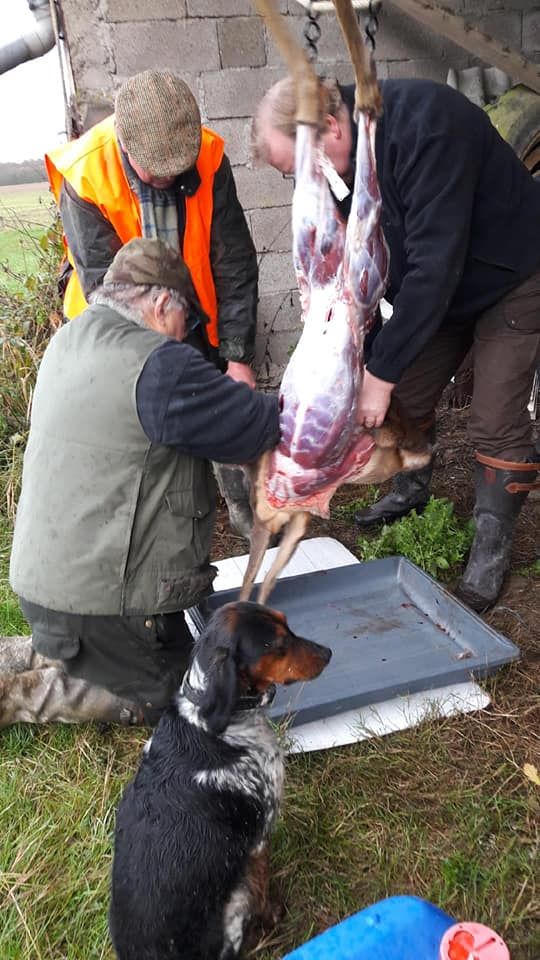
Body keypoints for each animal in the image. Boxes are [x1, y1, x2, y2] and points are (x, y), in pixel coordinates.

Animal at [108, 596, 332, 956]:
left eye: (286, 622)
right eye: (277, 645)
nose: (328, 653)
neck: (210, 720)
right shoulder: (259, 841)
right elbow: (262, 887)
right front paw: (274, 915)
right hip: (235, 901)